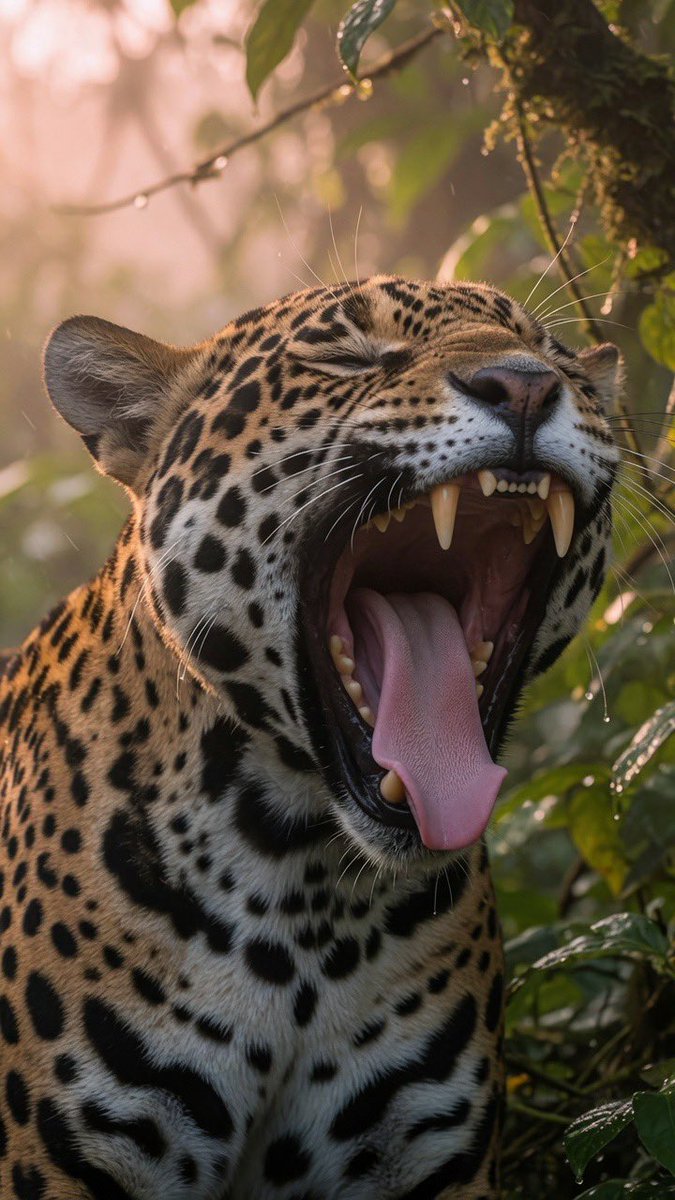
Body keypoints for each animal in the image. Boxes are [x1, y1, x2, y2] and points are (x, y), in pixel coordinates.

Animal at [0, 275, 621, 1199]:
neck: (305, 902)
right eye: (348, 355)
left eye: (554, 355)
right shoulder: (61, 1165)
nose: (522, 387)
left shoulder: (426, 1160)